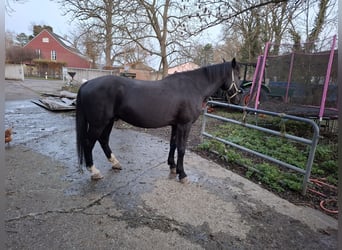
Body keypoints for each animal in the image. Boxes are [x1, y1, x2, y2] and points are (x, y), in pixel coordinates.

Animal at [75, 59, 240, 183]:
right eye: (238, 75)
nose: (238, 99)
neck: (193, 87)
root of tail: (86, 84)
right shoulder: (185, 125)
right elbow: (181, 148)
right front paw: (182, 174)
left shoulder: (175, 125)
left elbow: (173, 145)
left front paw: (173, 167)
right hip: (98, 124)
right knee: (89, 143)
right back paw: (94, 171)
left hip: (108, 121)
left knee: (103, 140)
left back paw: (115, 163)